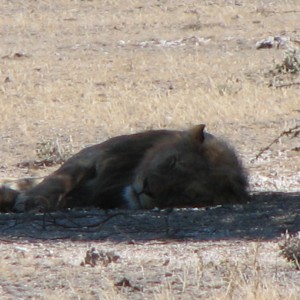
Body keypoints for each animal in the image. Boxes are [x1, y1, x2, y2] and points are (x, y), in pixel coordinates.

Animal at [0, 125, 248, 213]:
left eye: (185, 194)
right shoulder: (94, 155)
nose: (145, 189)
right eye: (172, 162)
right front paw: (32, 200)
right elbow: (60, 179)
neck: (124, 178)